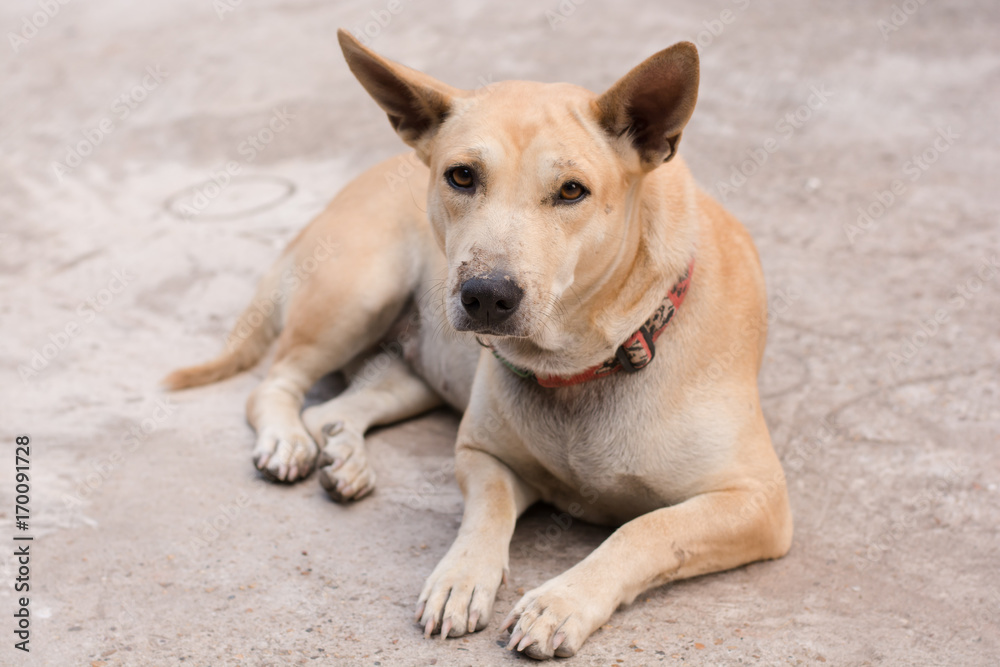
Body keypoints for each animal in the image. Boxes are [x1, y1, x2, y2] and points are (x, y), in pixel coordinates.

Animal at [164, 31, 792, 656]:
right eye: (462, 176)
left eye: (572, 191)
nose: (486, 295)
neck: (589, 360)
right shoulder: (481, 453)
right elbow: (488, 511)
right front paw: (461, 577)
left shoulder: (757, 501)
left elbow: (647, 529)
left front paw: (561, 602)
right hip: (356, 295)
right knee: (276, 386)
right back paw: (287, 440)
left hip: (416, 374)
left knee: (335, 409)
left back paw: (347, 458)